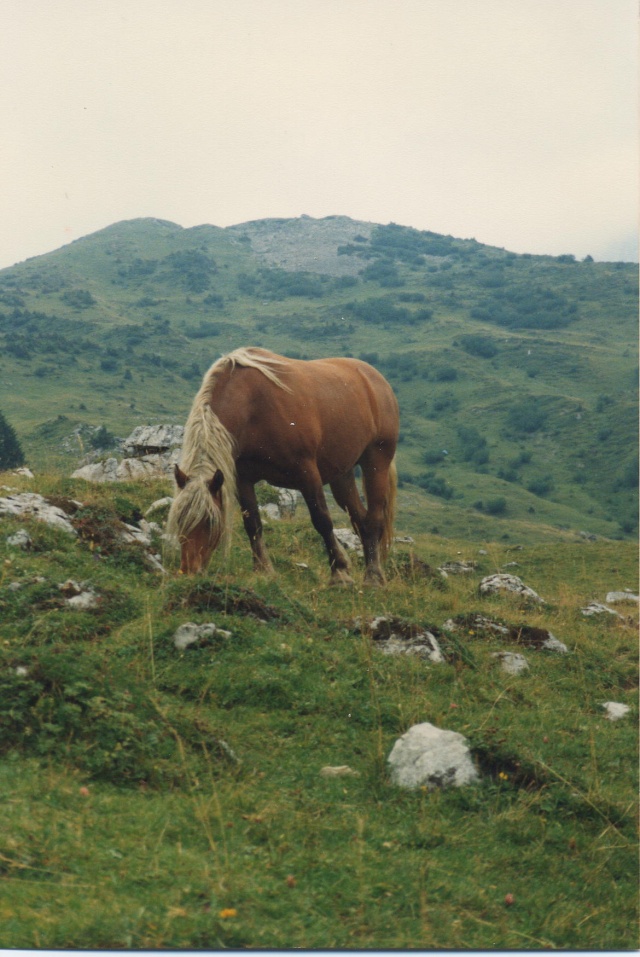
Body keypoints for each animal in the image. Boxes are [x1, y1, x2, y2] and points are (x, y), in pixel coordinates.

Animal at [168, 344, 402, 584]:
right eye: (179, 520)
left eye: (210, 521)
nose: (189, 571)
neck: (253, 406)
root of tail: (374, 378)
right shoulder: (243, 479)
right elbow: (253, 523)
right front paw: (263, 569)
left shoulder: (307, 472)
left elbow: (322, 520)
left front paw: (339, 572)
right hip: (342, 475)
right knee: (360, 520)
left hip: (376, 460)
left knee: (374, 519)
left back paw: (373, 576)